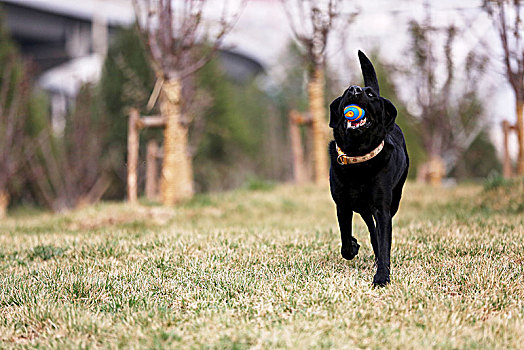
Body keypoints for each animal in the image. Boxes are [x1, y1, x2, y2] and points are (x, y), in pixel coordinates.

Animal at [328, 52, 410, 288]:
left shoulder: (382, 208)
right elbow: (345, 239)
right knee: (370, 227)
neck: (358, 158)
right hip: (361, 206)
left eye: (370, 94)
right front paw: (353, 246)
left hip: (394, 199)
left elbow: (384, 243)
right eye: (346, 92)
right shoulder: (343, 205)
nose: (355, 89)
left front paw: (382, 277)